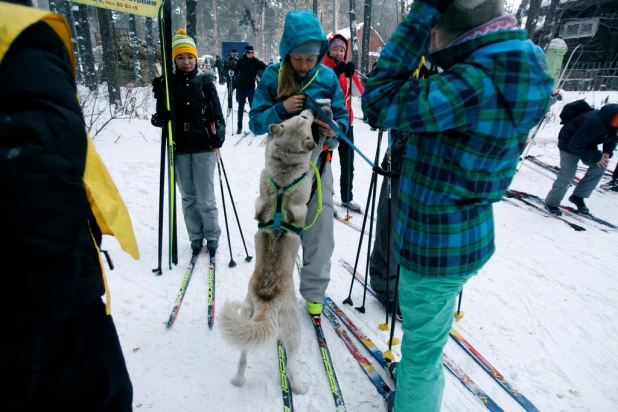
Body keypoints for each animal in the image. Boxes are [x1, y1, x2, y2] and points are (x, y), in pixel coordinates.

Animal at [219, 109, 318, 392]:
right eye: (304, 120)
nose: (310, 109)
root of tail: (266, 299)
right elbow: (315, 157)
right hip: (295, 333)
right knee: (292, 362)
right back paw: (298, 386)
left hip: (246, 317)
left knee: (243, 355)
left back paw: (239, 379)